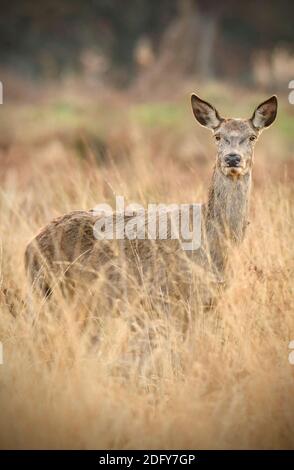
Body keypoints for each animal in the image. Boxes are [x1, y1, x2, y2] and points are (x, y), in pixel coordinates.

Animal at [24, 95, 278, 308]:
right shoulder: (174, 294)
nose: (232, 158)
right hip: (47, 289)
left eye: (252, 137)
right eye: (217, 136)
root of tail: (29, 248)